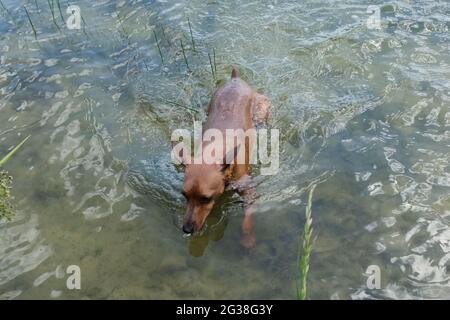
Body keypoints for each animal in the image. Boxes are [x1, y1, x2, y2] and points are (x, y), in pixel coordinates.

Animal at [176, 67, 268, 248]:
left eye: (206, 199)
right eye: (184, 195)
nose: (186, 229)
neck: (214, 151)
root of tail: (235, 78)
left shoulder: (248, 190)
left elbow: (248, 217)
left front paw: (247, 238)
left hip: (261, 110)